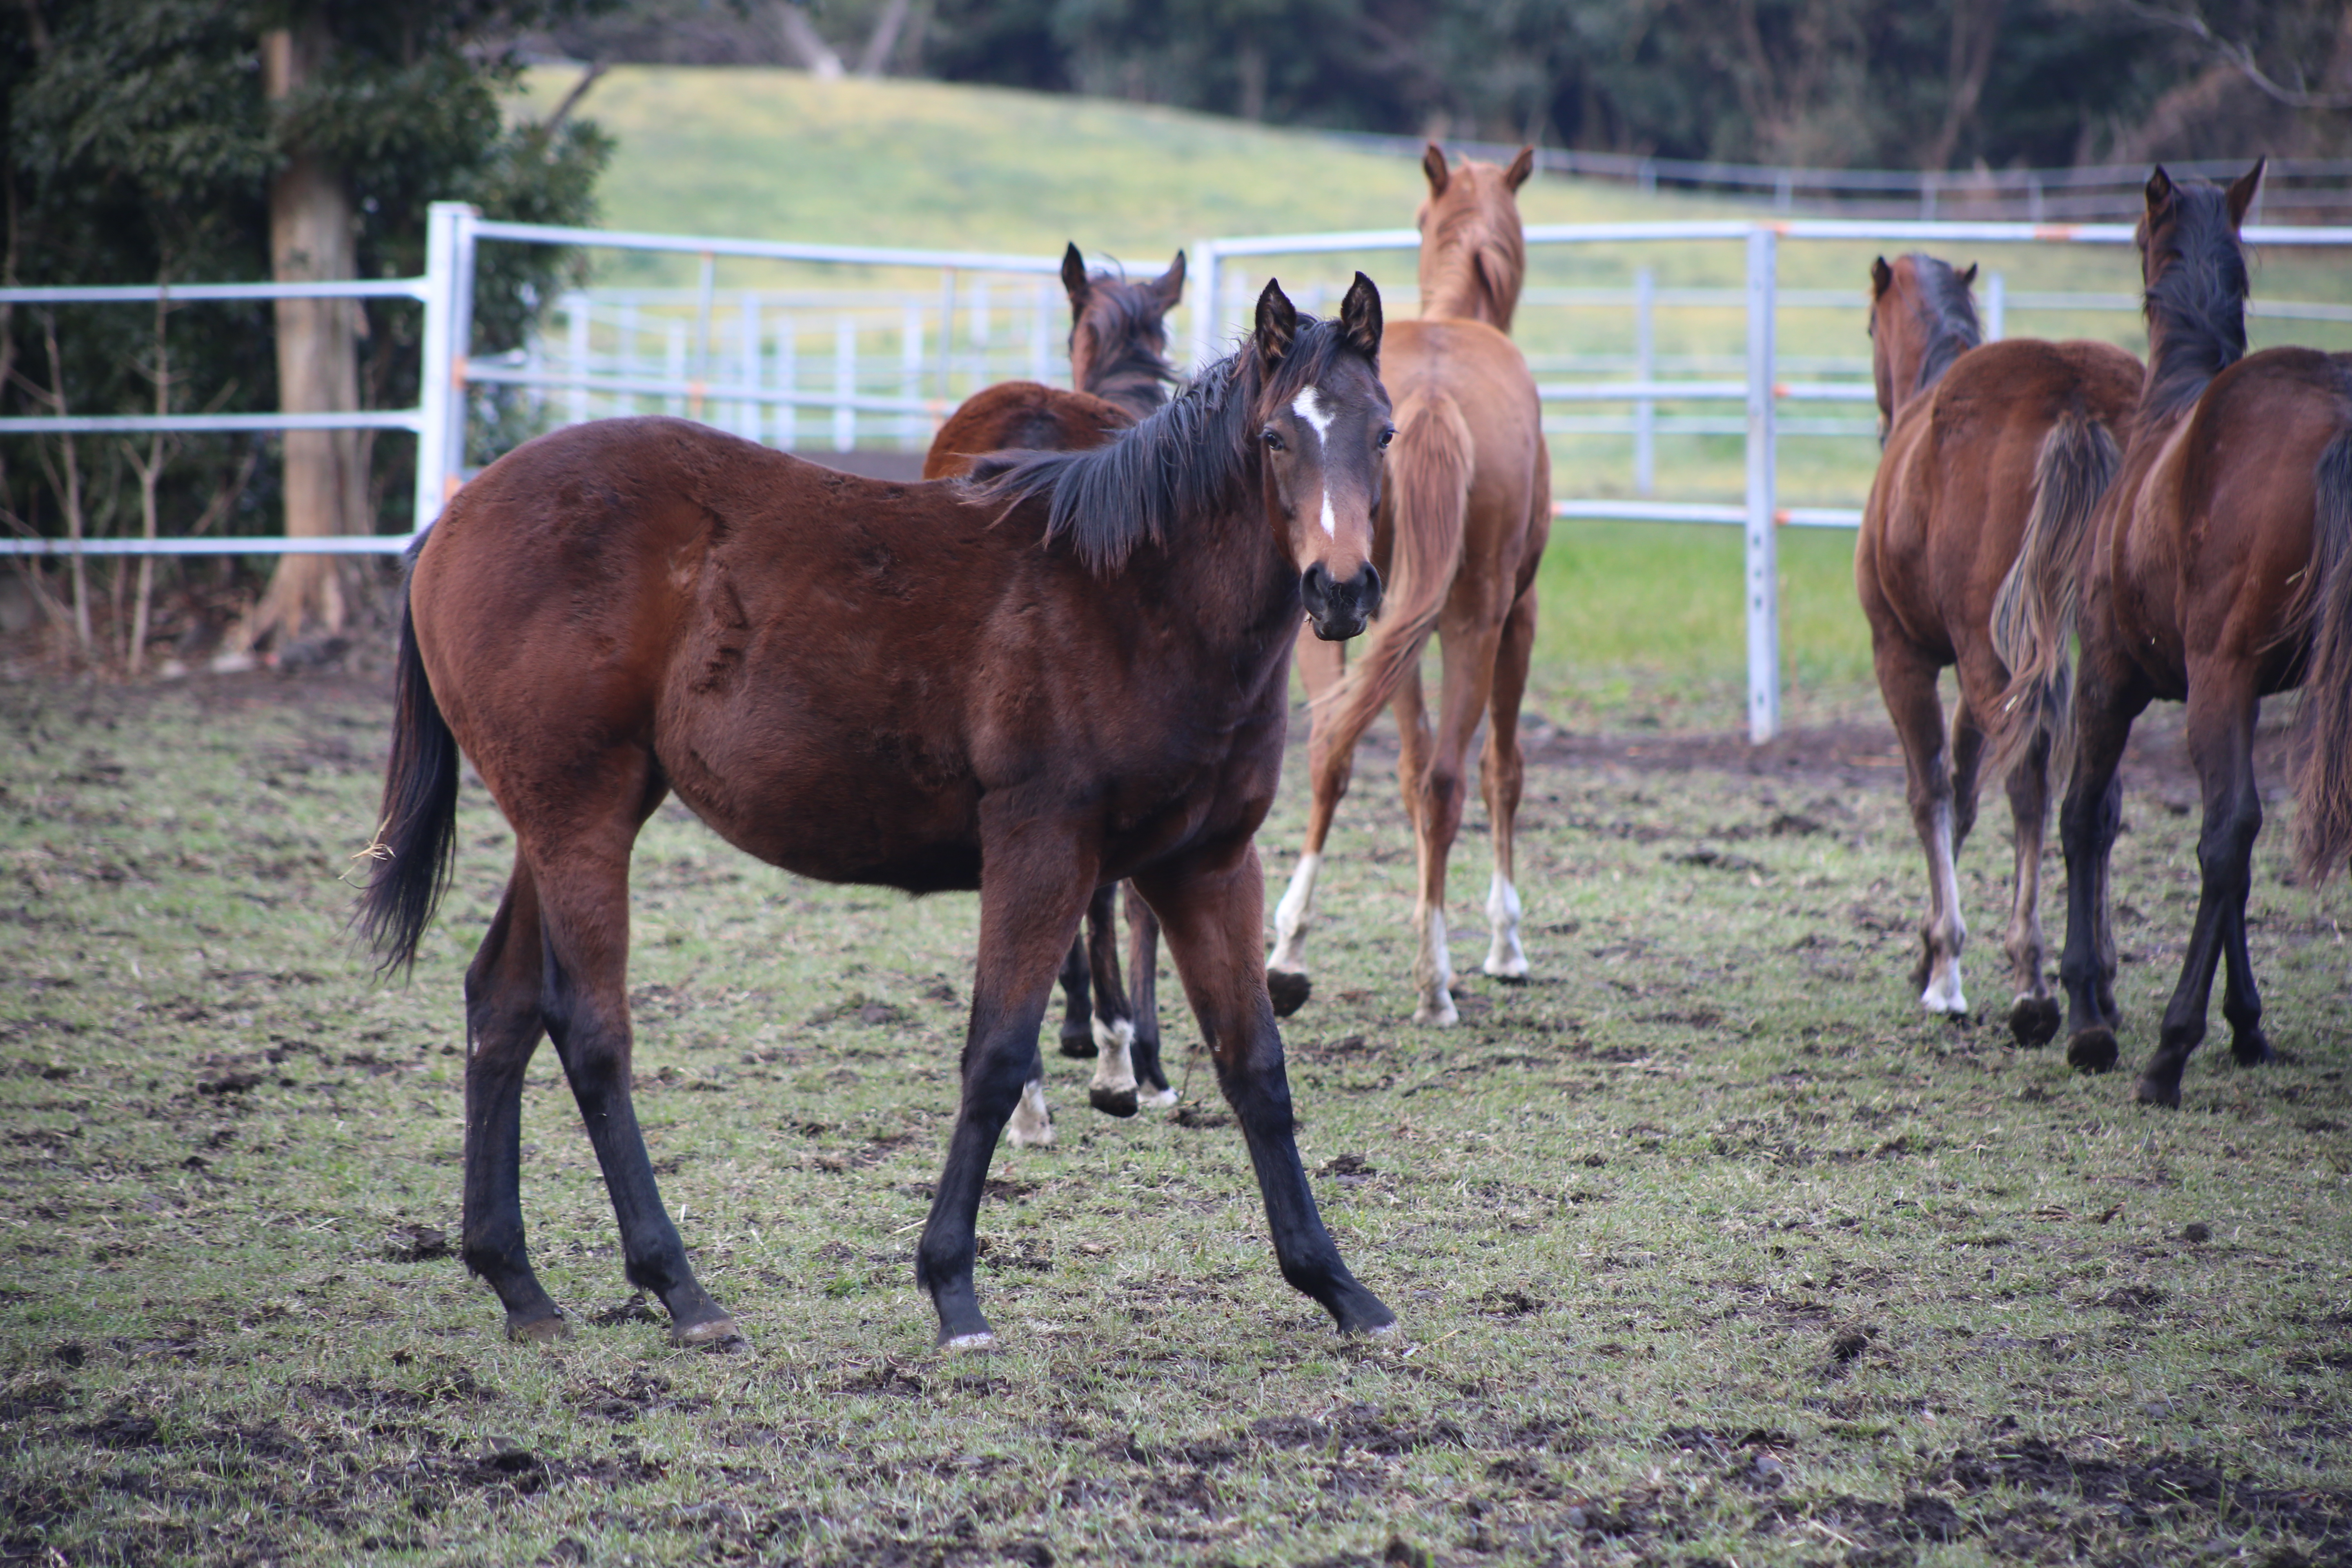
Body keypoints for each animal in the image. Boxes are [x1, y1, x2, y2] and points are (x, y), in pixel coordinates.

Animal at [1261, 144, 1552, 1029]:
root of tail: (1433, 395)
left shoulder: (1385, 617)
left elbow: (1397, 763)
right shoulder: (1518, 616)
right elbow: (1498, 769)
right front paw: (1504, 942)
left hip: (1342, 616)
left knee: (1330, 749)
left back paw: (1289, 948)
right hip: (1475, 620)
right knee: (1454, 777)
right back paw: (1436, 979)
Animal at [1853, 252, 2154, 1044]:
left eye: (1868, 325)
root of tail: (2072, 393)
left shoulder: (1906, 656)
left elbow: (1931, 792)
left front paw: (1944, 967)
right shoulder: (1985, 672)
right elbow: (1963, 793)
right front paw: (1928, 955)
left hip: (1995, 656)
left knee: (2030, 784)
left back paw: (2033, 983)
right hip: (2095, 655)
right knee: (2096, 796)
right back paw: (2098, 981)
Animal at [2004, 162, 2352, 1105]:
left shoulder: (2111, 681)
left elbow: (2087, 818)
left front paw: (2088, 1015)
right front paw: (2249, 1024)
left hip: (2211, 677)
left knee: (2225, 834)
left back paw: (2167, 1053)